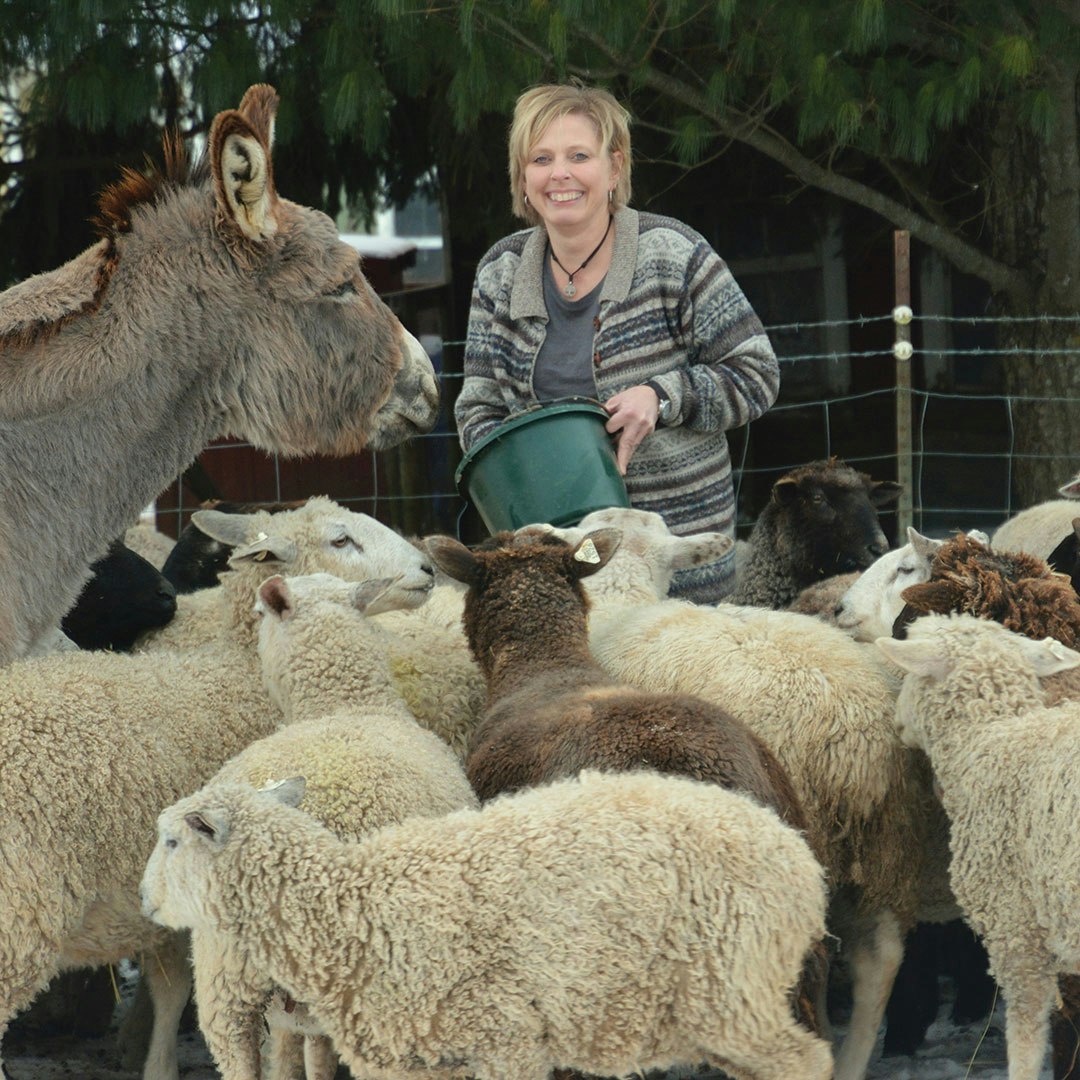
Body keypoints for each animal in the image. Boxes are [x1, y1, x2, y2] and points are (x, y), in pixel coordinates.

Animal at [0, 496, 434, 1080]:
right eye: (340, 539)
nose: (428, 568)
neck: (239, 665)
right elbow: (176, 986)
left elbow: (168, 983)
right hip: (20, 906)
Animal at [142, 767, 833, 1080]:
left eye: (172, 841)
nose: (145, 901)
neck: (354, 910)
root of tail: (801, 859)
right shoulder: (416, 1061)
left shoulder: (506, 1039)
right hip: (722, 1008)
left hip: (737, 989)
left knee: (807, 1061)